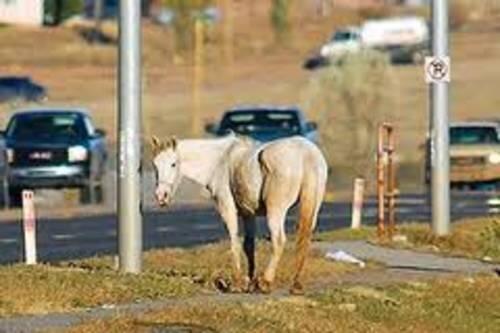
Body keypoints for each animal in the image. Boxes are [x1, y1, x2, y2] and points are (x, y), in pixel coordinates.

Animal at [151, 134, 332, 292]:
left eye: (173, 164)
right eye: (155, 165)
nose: (161, 196)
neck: (220, 161)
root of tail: (307, 154)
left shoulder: (227, 208)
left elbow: (234, 241)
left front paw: (238, 282)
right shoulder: (248, 214)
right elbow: (248, 245)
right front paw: (249, 282)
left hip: (275, 211)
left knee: (279, 240)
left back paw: (266, 282)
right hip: (312, 209)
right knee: (304, 239)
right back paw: (295, 284)